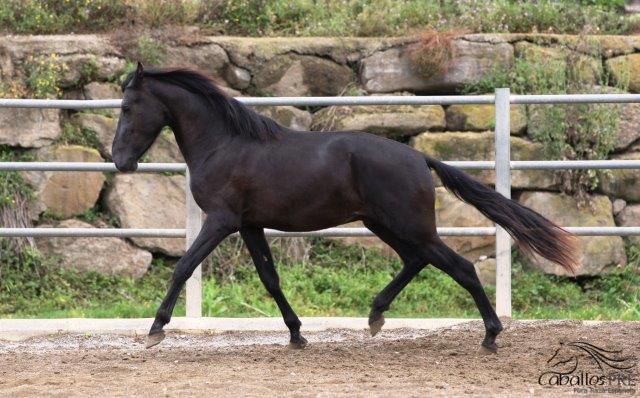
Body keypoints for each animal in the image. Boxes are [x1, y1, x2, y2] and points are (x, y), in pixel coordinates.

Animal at [112, 63, 576, 352]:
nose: (120, 161)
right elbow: (270, 279)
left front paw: (155, 329)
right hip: (382, 224)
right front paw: (297, 335)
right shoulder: (250, 225)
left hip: (408, 225)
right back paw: (375, 317)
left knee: (459, 266)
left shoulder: (221, 221)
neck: (225, 144)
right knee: (417, 260)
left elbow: (183, 267)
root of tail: (417, 156)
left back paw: (491, 336)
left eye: (128, 106)